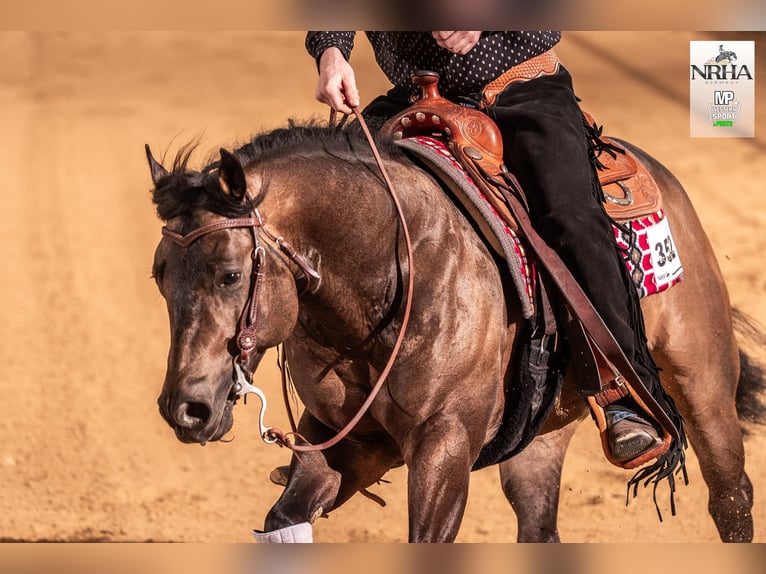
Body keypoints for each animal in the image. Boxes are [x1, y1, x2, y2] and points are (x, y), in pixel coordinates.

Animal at [146, 121, 763, 543]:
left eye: (229, 274)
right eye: (159, 276)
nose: (186, 410)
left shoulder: (443, 446)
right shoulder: (345, 442)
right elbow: (285, 518)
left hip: (703, 386)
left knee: (731, 498)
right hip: (542, 434)